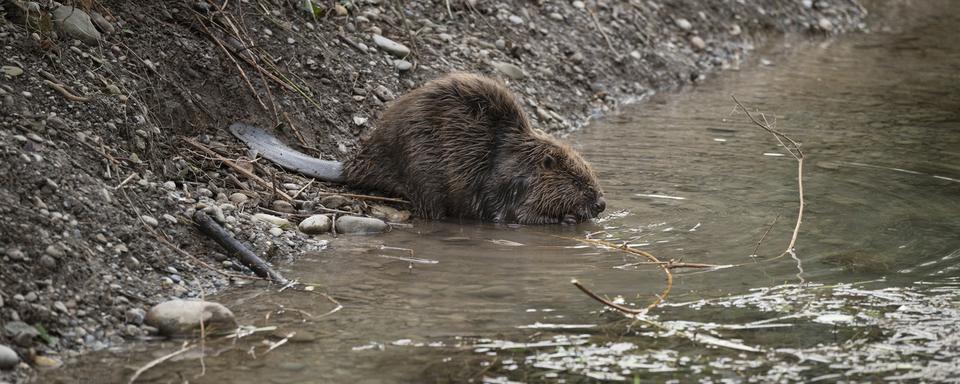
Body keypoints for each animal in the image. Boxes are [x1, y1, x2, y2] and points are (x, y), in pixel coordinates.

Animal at [232, 73, 604, 224]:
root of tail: (351, 164)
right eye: (577, 181)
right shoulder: (504, 182)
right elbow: (510, 214)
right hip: (422, 170)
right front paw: (569, 217)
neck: (516, 157)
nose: (601, 204)